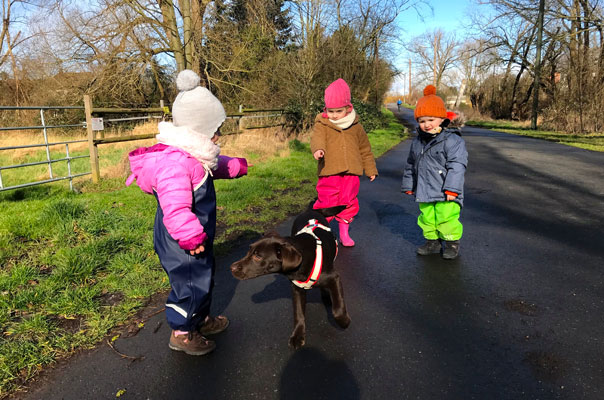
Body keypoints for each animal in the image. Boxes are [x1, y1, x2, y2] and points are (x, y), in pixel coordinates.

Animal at [232, 206, 354, 346]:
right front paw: (297, 336)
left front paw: (344, 321)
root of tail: (311, 209)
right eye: (249, 251)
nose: (231, 268)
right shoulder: (297, 289)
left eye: (257, 256)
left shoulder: (334, 278)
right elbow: (298, 313)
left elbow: (338, 308)